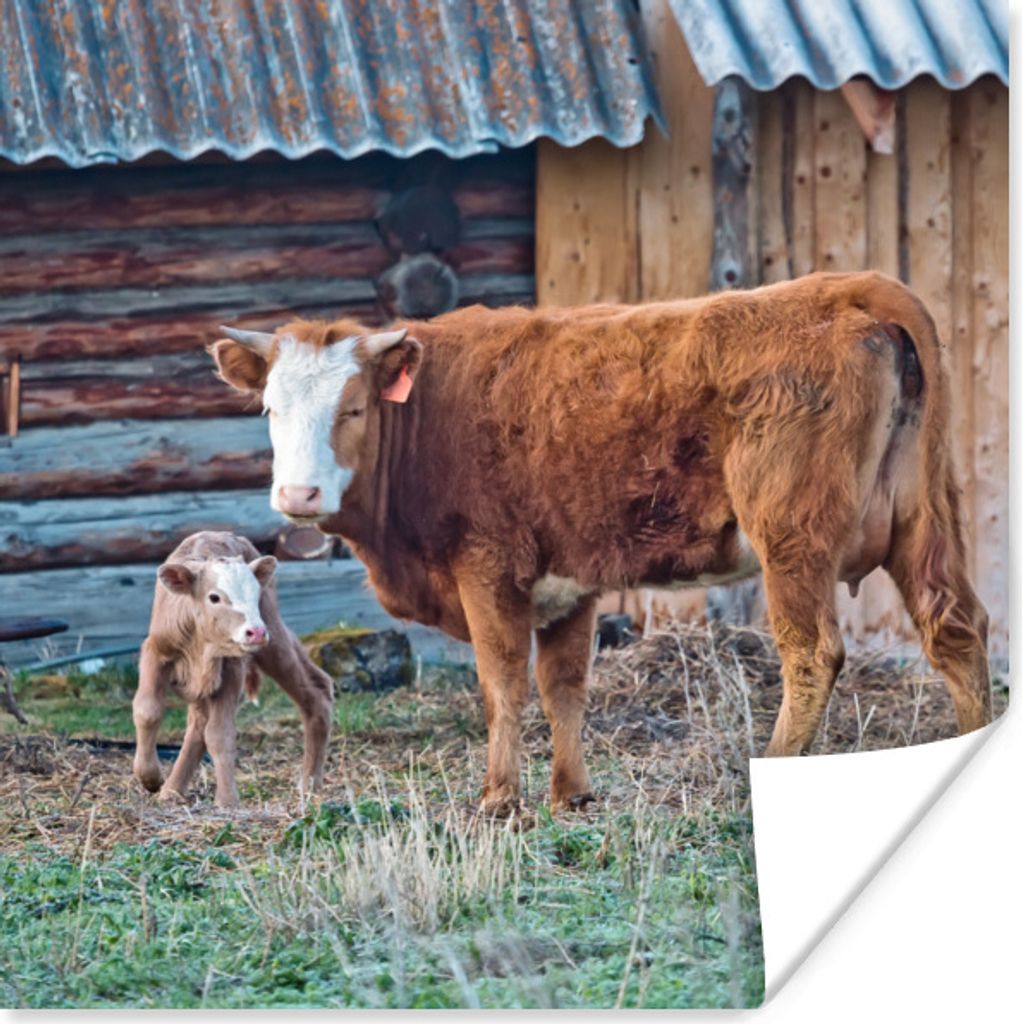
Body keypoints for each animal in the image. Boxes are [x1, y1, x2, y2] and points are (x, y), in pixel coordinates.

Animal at [132, 531, 334, 807]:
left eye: (255, 594)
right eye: (214, 597)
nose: (256, 632)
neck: (200, 644)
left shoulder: (232, 668)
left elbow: (220, 733)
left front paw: (227, 801)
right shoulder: (156, 651)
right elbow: (147, 710)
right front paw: (150, 777)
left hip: (272, 637)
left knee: (315, 691)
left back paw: (310, 784)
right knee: (197, 724)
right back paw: (172, 791)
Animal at [210, 271, 992, 815]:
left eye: (352, 407)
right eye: (270, 409)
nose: (298, 497)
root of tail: (855, 287)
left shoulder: (488, 568)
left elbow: (502, 683)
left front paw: (500, 799)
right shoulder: (568, 583)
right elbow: (565, 686)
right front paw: (571, 793)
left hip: (792, 535)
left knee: (812, 652)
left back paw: (774, 760)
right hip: (925, 517)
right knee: (955, 629)